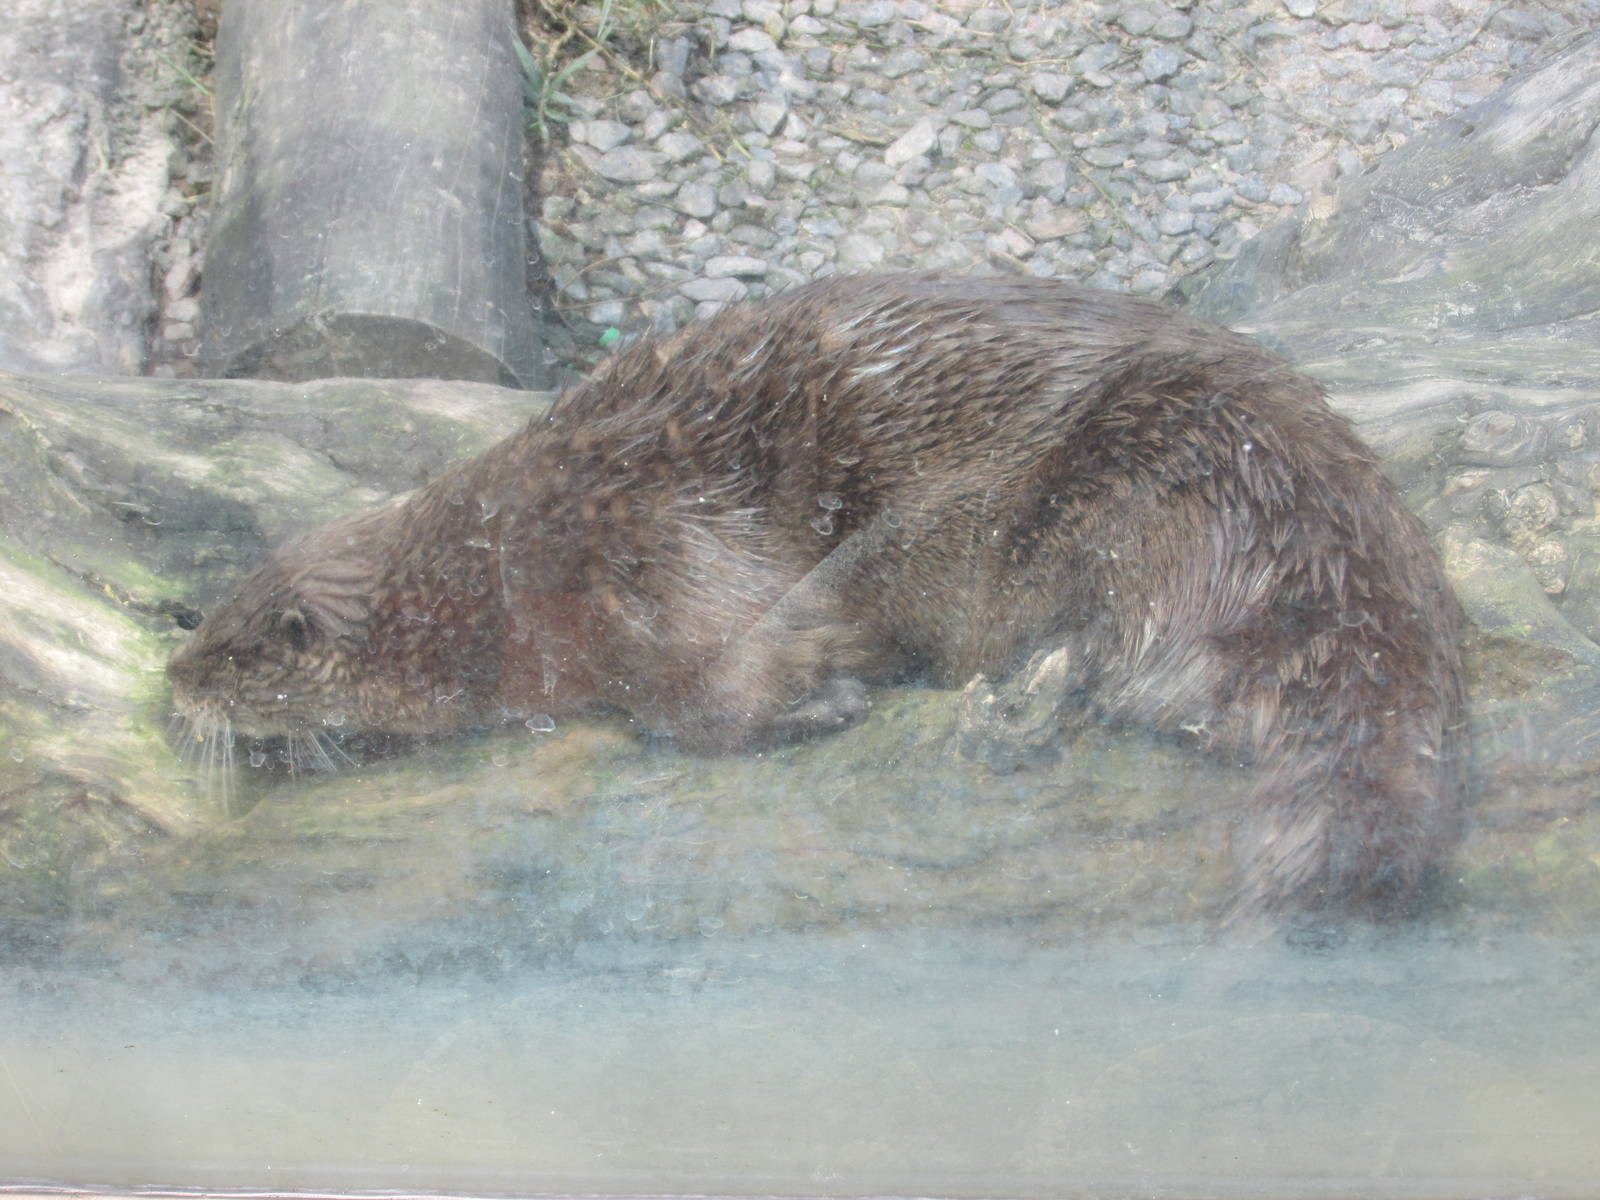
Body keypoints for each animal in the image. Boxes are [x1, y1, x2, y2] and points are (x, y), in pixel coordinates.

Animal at [168, 273, 1467, 921]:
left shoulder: (650, 552)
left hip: (1141, 494)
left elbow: (700, 696)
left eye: (233, 652)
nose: (171, 684)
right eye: (199, 618)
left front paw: (820, 701)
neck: (500, 575)